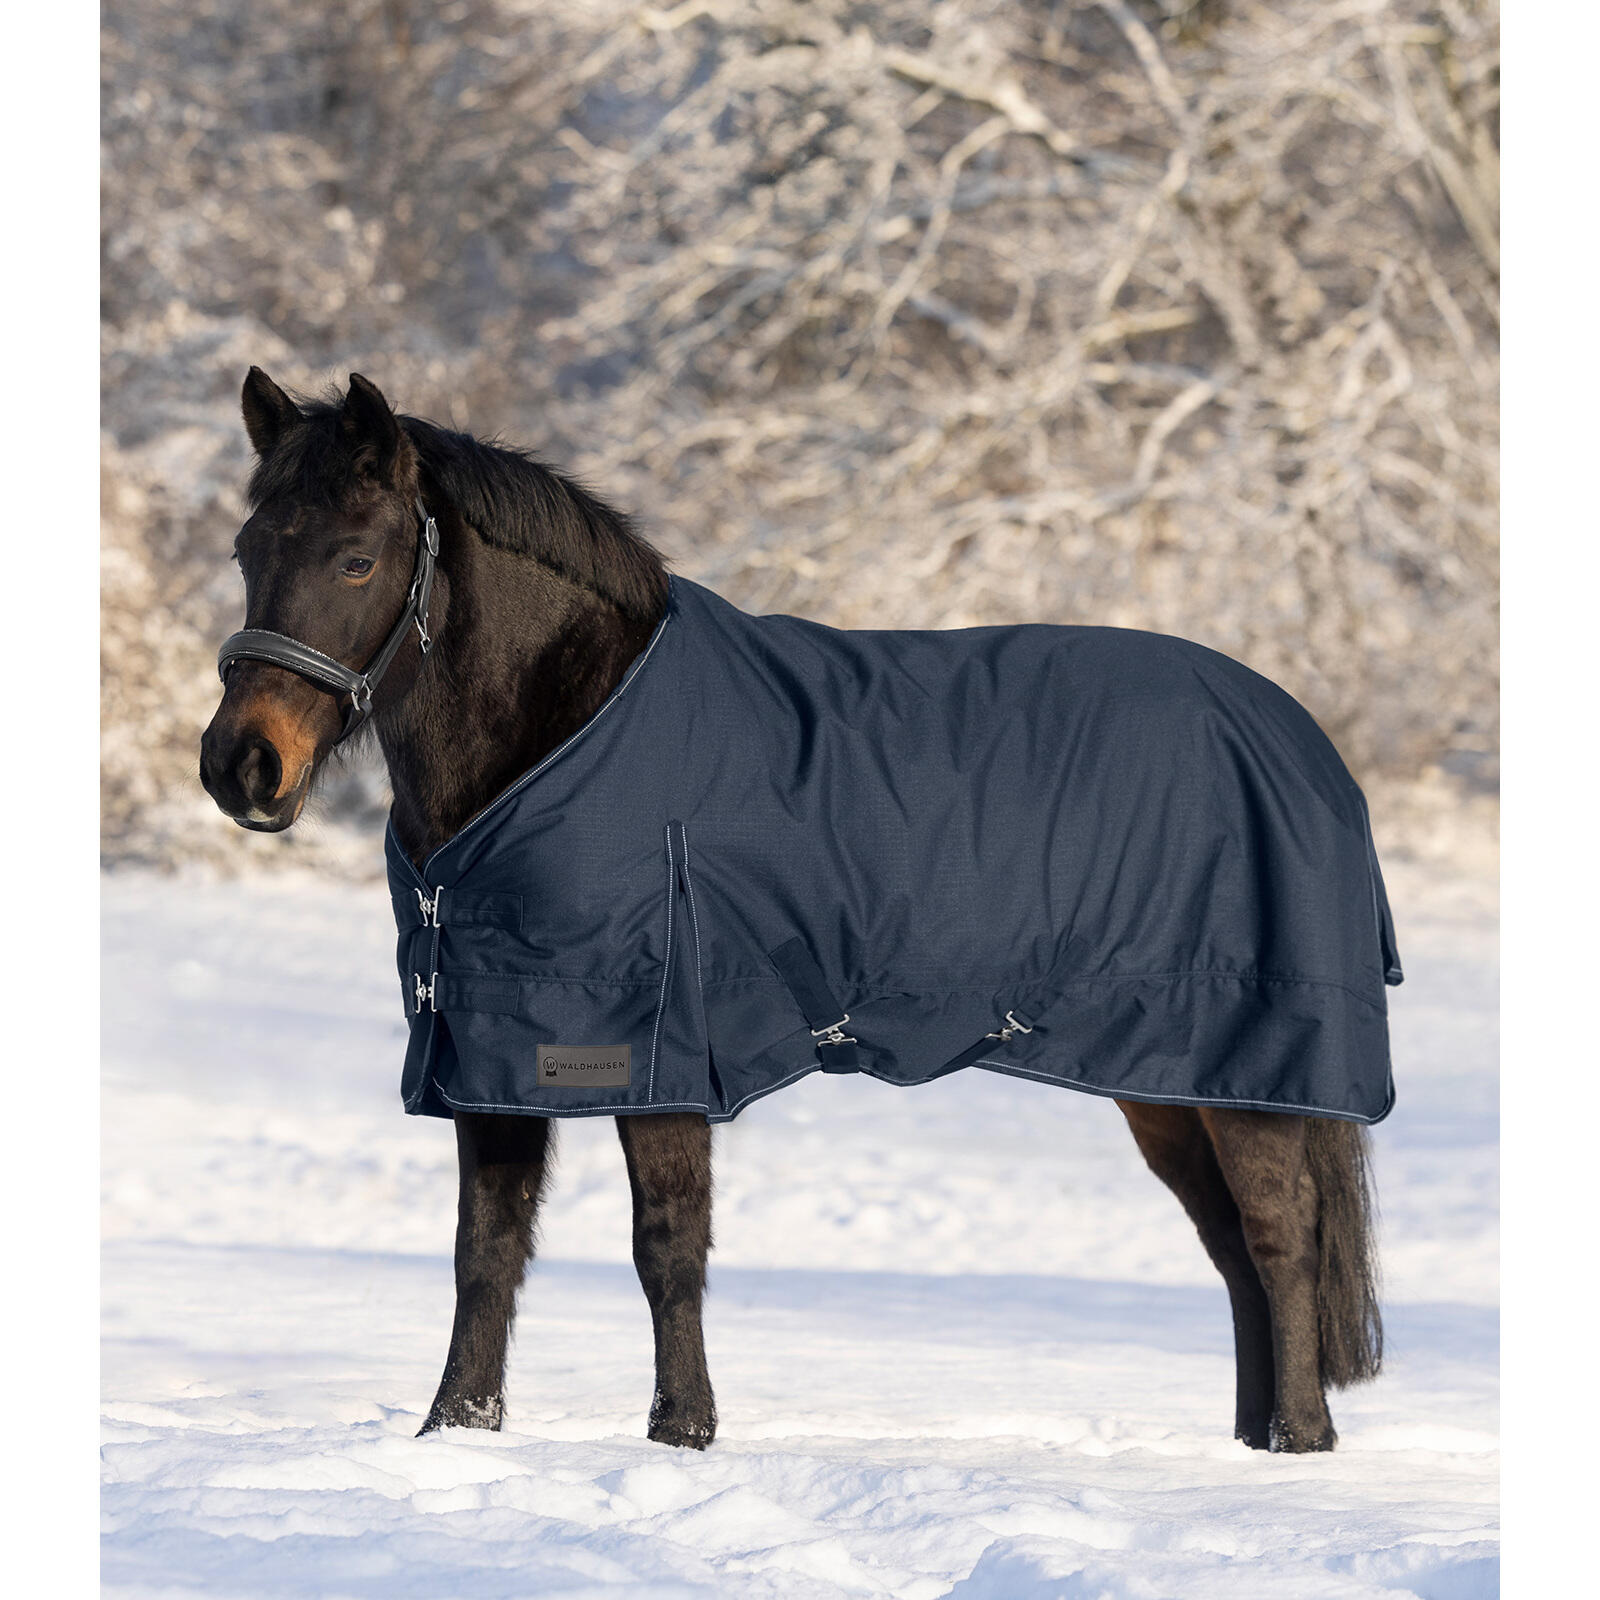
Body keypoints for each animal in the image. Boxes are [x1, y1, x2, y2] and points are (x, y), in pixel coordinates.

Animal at [200, 368, 1385, 1454]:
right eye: (249, 551)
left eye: (357, 557)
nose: (240, 765)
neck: (568, 735)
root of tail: (1298, 738)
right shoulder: (490, 1049)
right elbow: (483, 1251)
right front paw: (457, 1431)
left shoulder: (654, 1050)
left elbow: (667, 1244)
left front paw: (682, 1431)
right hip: (1168, 1082)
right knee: (1231, 1246)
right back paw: (1258, 1442)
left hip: (1241, 1067)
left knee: (1279, 1235)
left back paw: (1296, 1442)